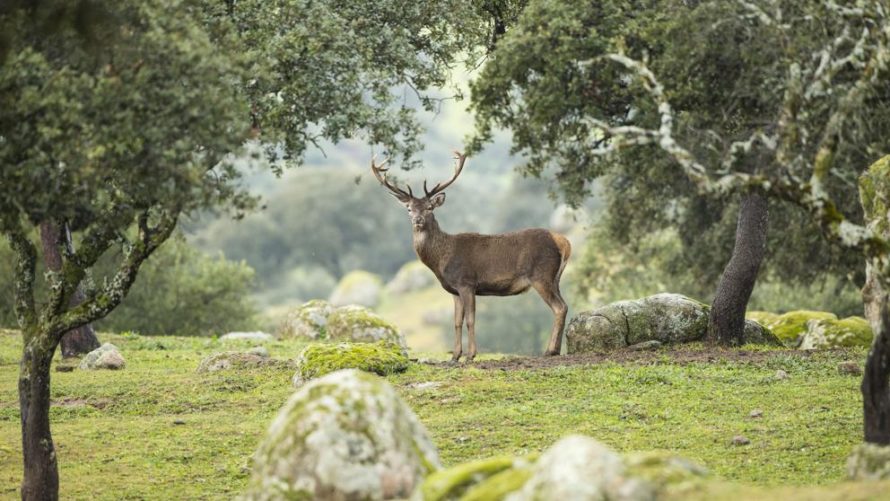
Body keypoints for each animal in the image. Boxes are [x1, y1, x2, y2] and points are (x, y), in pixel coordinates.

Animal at [372, 150, 572, 362]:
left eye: (429, 207)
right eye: (409, 208)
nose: (418, 220)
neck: (441, 261)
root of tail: (564, 242)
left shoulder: (467, 282)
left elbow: (470, 320)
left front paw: (471, 355)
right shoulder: (454, 291)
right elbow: (457, 322)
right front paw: (454, 356)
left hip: (541, 275)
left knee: (559, 307)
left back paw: (550, 350)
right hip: (555, 278)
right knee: (564, 305)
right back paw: (556, 349)